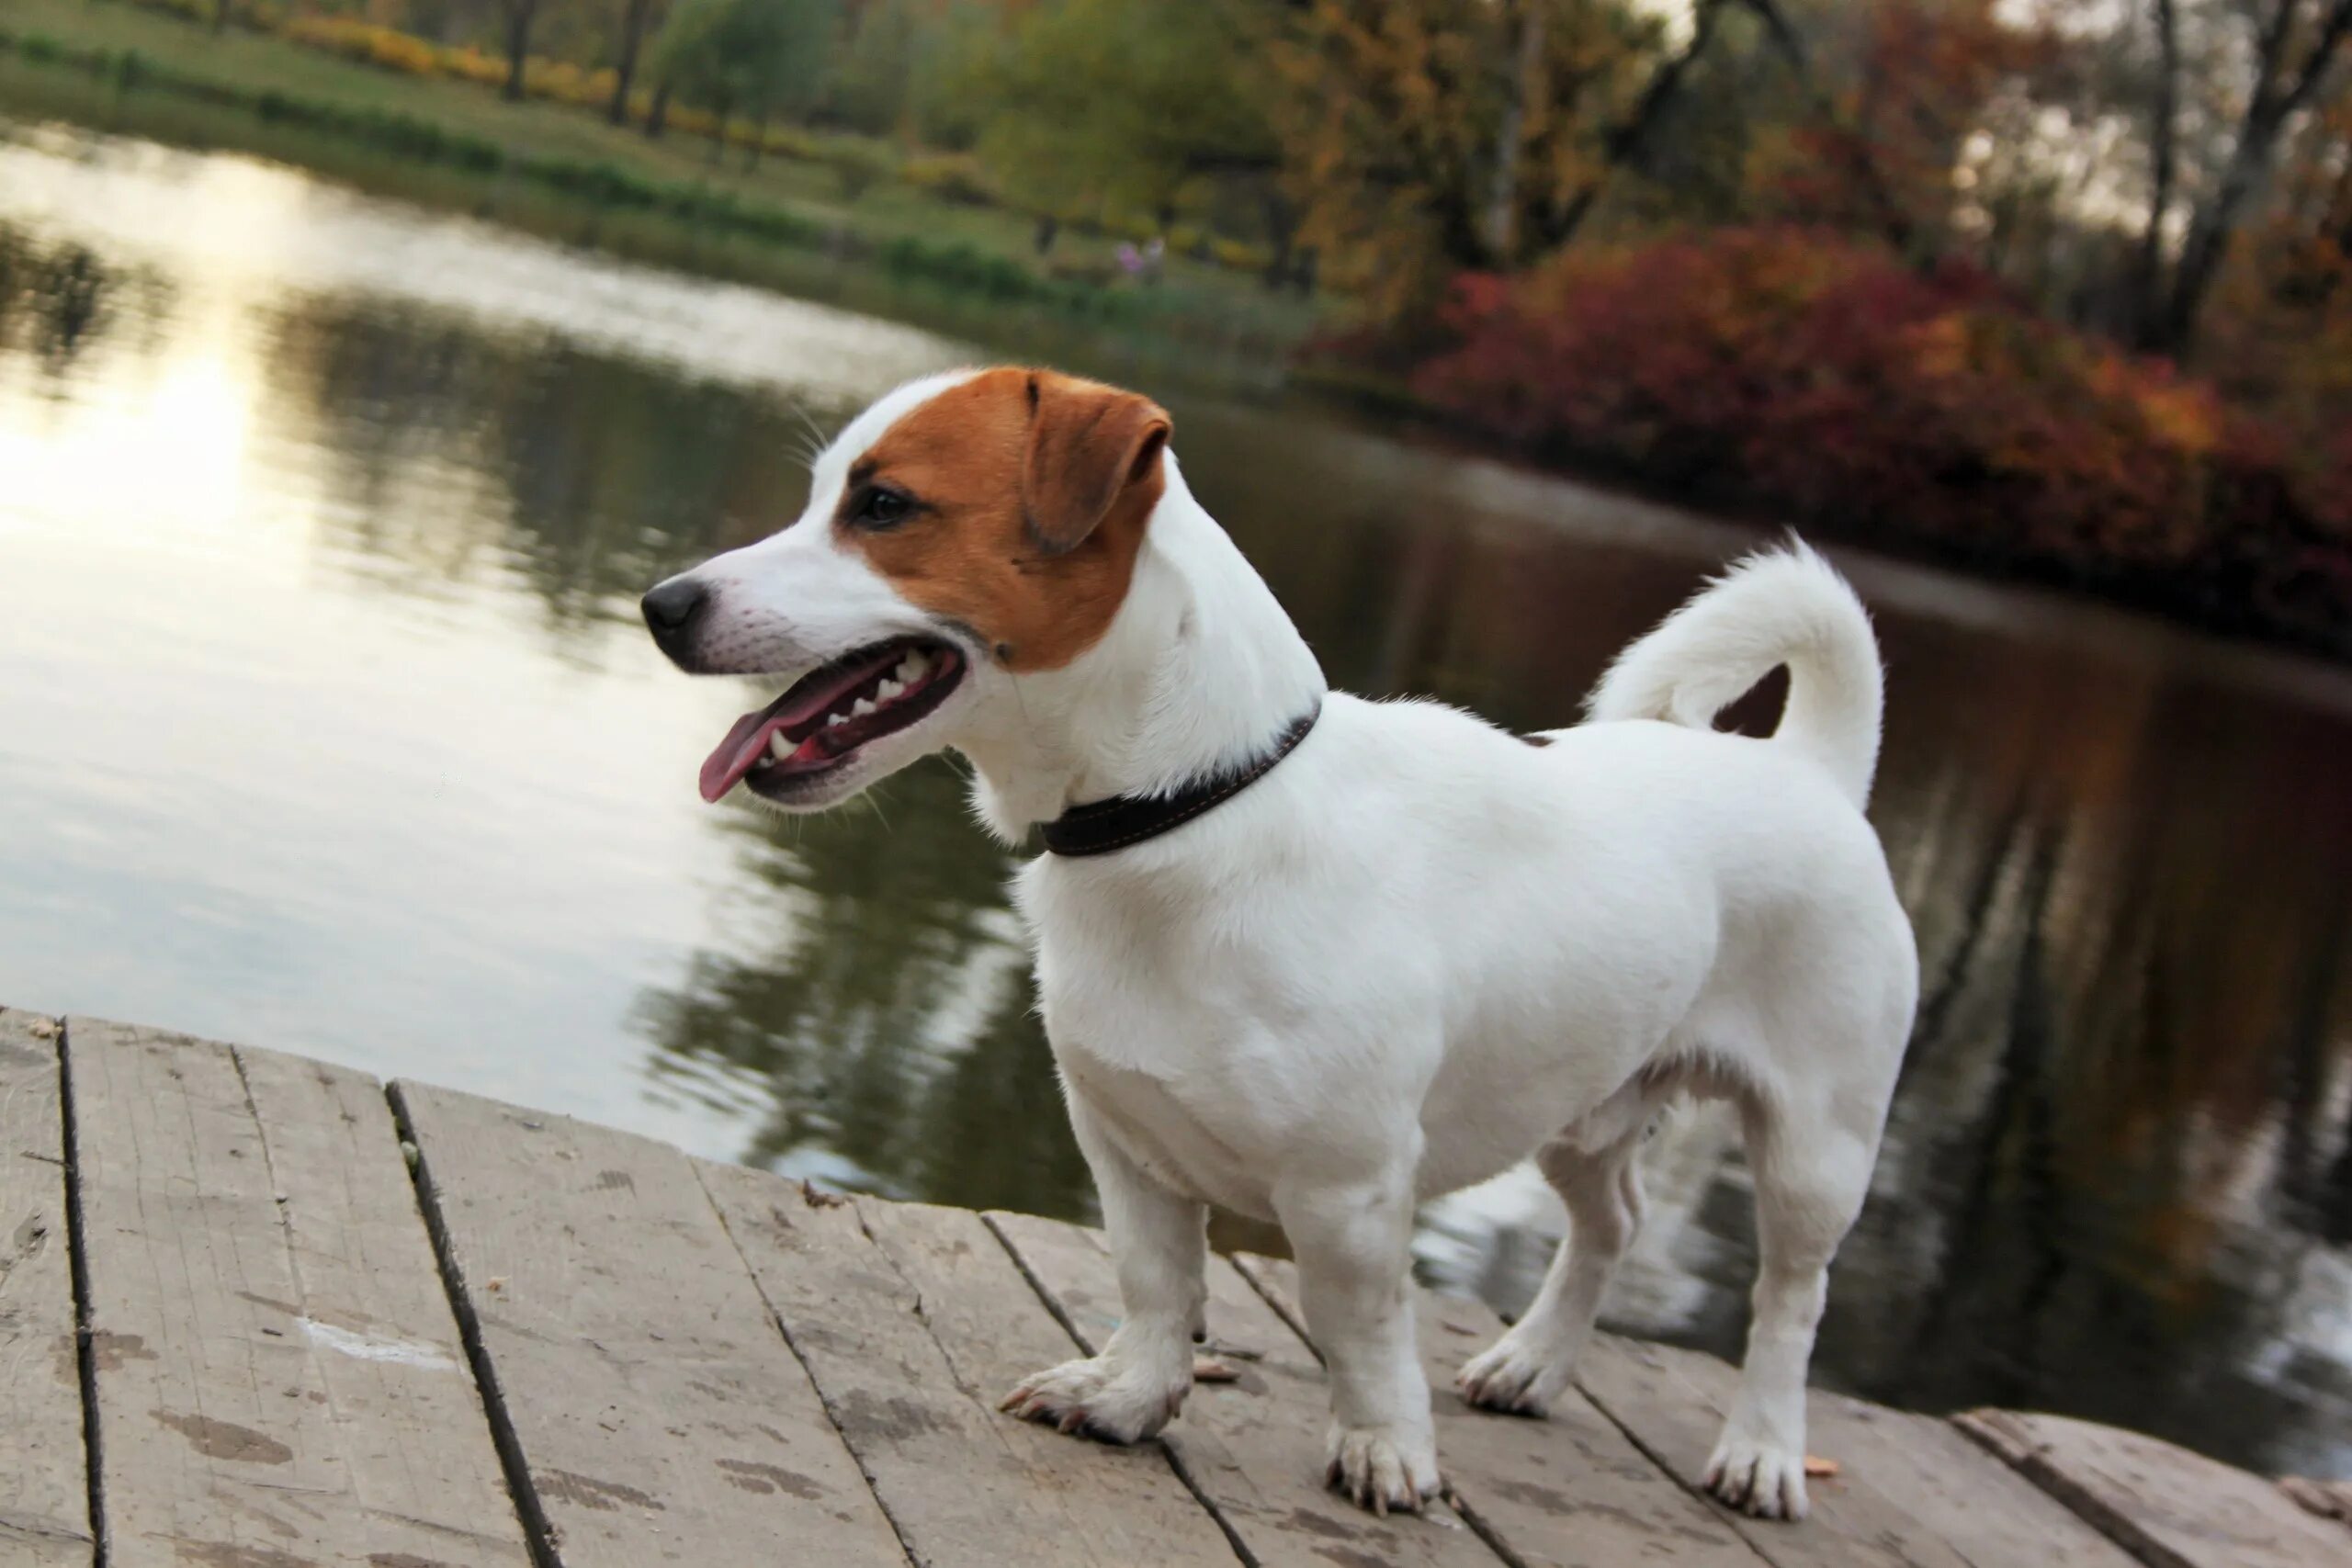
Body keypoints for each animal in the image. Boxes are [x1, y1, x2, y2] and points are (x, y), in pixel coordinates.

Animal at [639, 364, 1909, 1523]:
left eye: (885, 506)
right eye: (823, 496)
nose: (662, 605)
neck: (1189, 809)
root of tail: (1807, 768)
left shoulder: (1349, 1189)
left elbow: (1361, 1329)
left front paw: (1385, 1450)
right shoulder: (1121, 1142)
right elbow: (1157, 1283)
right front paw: (1132, 1397)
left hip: (1815, 1149)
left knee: (1790, 1303)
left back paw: (1761, 1451)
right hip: (1583, 1108)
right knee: (1614, 1225)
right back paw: (1534, 1363)